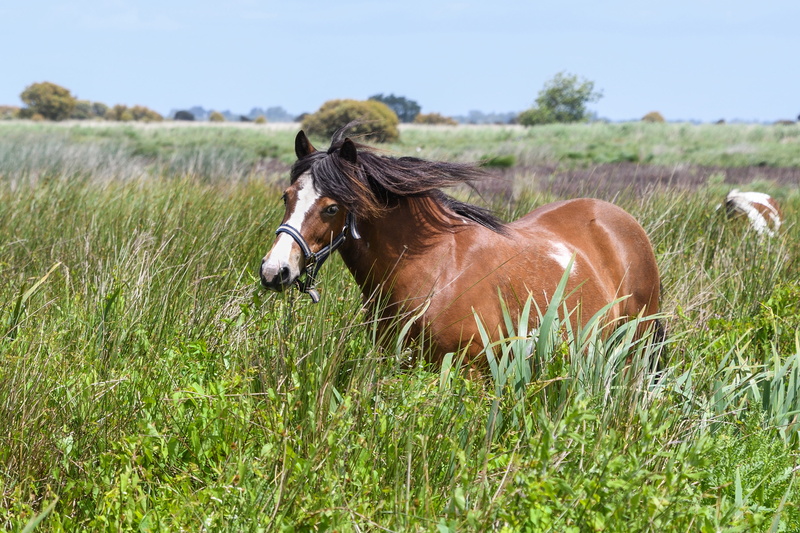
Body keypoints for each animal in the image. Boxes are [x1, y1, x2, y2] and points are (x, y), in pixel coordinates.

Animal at [260, 126, 662, 373]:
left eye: (331, 207)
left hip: (635, 347)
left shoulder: (469, 370)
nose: (274, 270)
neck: (434, 269)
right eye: (287, 196)